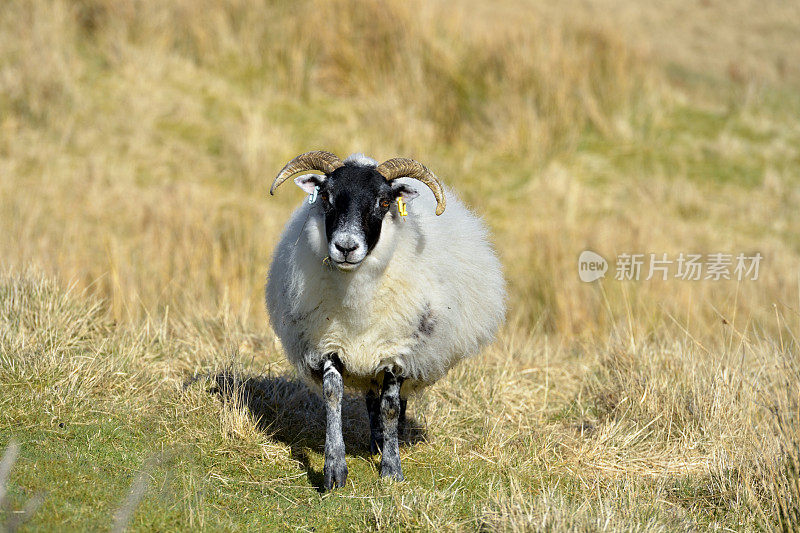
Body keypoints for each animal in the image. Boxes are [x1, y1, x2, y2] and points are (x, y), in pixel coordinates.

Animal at [268, 150, 506, 490]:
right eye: (325, 197)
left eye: (383, 202)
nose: (346, 247)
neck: (356, 299)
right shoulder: (329, 343)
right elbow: (333, 396)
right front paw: (334, 470)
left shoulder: (398, 352)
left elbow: (391, 407)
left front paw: (392, 469)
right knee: (371, 400)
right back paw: (376, 441)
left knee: (394, 402)